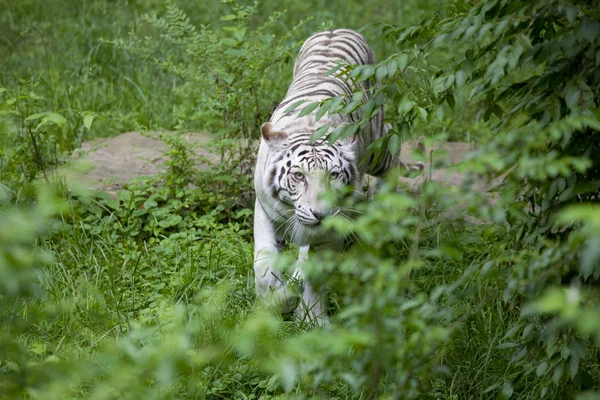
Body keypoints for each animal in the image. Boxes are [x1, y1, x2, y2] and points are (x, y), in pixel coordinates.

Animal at [255, 30, 420, 324]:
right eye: (299, 176)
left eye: (333, 175)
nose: (320, 214)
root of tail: (338, 30)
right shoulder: (264, 209)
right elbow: (264, 267)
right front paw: (278, 300)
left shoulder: (332, 227)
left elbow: (317, 275)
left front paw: (311, 319)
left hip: (376, 146)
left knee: (392, 143)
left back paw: (383, 201)